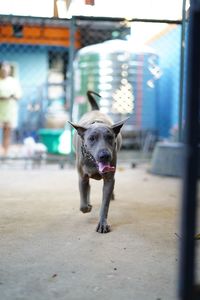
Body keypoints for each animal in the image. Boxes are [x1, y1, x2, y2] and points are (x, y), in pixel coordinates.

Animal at [69, 91, 127, 234]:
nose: (104, 156)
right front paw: (87, 206)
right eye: (91, 138)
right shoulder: (82, 177)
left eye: (110, 137)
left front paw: (102, 223)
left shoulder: (109, 179)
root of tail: (95, 110)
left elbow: (105, 204)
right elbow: (83, 205)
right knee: (87, 189)